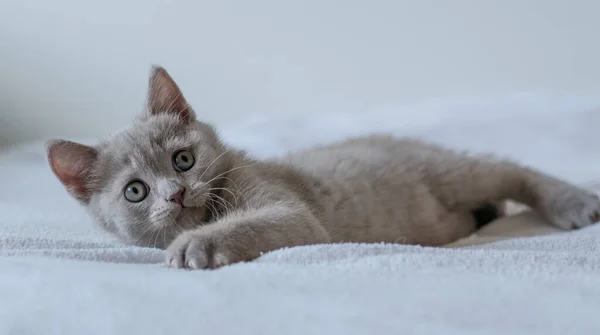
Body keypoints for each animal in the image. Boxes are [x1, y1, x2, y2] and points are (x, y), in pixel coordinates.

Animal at [48, 65, 600, 270]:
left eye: (183, 159)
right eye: (136, 191)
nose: (176, 194)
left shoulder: (289, 212)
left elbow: (255, 224)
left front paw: (194, 246)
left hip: (448, 171)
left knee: (510, 171)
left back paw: (574, 204)